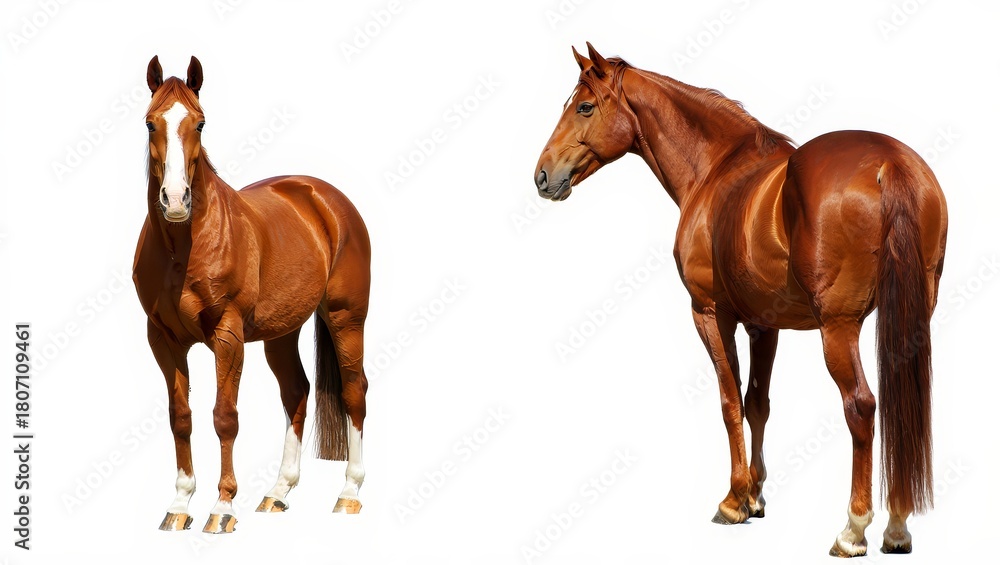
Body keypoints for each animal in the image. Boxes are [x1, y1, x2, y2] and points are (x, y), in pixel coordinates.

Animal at [132, 56, 371, 533]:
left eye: (200, 123)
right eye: (150, 123)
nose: (175, 200)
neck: (183, 248)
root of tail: (324, 198)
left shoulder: (228, 335)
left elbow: (224, 417)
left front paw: (222, 507)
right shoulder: (163, 340)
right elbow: (180, 418)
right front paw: (179, 505)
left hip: (346, 318)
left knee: (355, 391)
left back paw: (349, 493)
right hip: (282, 333)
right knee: (297, 392)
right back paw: (278, 492)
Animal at [534, 44, 947, 557]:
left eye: (585, 107)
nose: (542, 176)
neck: (716, 169)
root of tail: (889, 163)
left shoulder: (711, 314)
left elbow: (730, 402)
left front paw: (733, 501)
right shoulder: (763, 324)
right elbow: (757, 403)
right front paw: (756, 494)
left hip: (839, 328)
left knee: (862, 406)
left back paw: (854, 529)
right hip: (910, 318)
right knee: (901, 407)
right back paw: (897, 528)